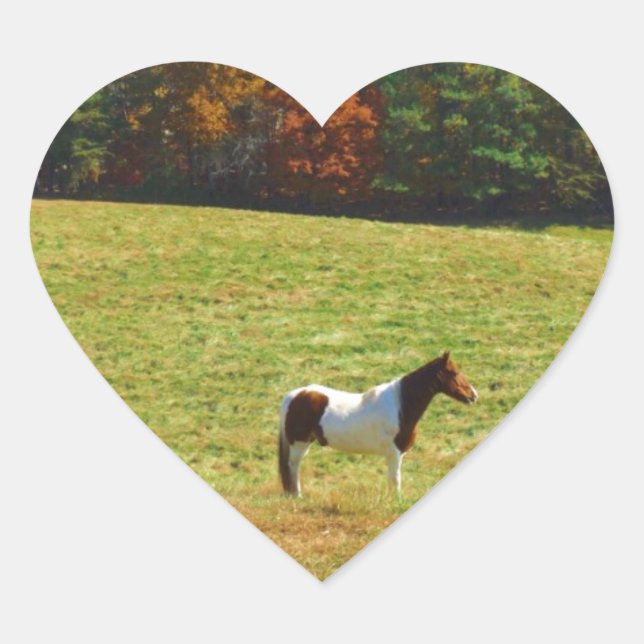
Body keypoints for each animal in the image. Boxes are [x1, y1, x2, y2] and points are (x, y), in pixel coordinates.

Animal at [278, 351, 478, 497]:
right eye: (454, 372)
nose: (474, 395)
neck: (400, 405)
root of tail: (294, 396)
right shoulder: (394, 454)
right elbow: (396, 480)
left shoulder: (396, 455)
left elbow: (392, 479)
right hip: (299, 444)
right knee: (293, 467)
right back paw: (297, 496)